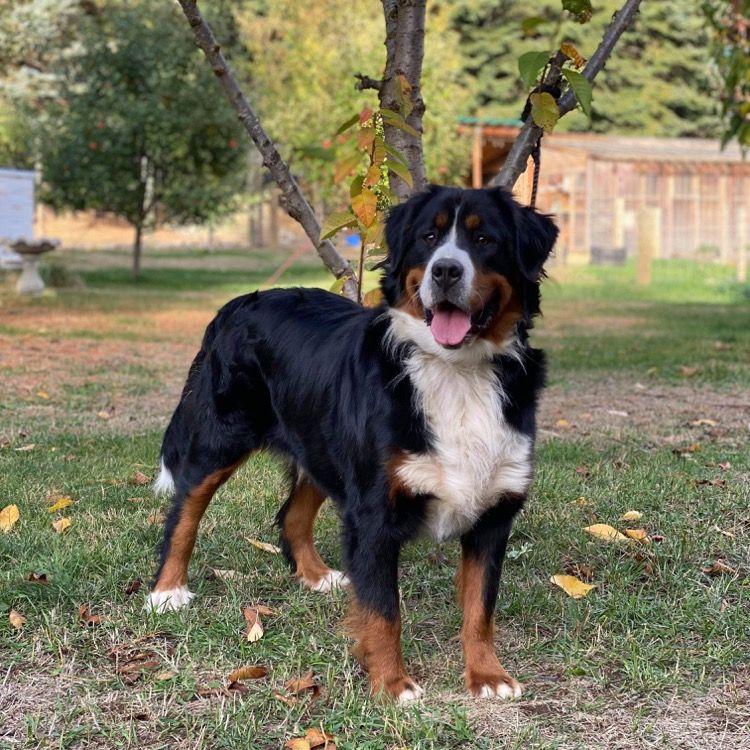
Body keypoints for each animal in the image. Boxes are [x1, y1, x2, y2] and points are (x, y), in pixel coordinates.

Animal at [147, 184, 560, 704]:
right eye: (428, 237)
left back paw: (316, 576)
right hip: (220, 441)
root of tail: (237, 304)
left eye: (484, 238)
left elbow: (479, 608)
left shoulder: (492, 513)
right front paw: (391, 684)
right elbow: (384, 611)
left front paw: (486, 675)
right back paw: (167, 590)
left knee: (292, 515)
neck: (456, 372)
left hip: (322, 445)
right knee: (184, 511)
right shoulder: (374, 513)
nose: (445, 270)